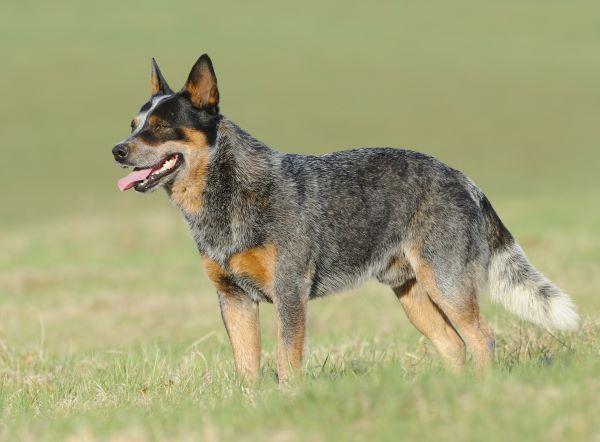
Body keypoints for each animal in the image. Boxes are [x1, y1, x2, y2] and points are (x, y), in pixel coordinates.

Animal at [111, 54, 576, 380]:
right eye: (134, 124)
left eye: (160, 126)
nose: (117, 149)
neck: (227, 196)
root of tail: (465, 178)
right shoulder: (233, 298)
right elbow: (248, 371)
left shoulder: (289, 291)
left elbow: (287, 362)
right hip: (412, 295)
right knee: (453, 346)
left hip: (447, 284)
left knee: (483, 338)